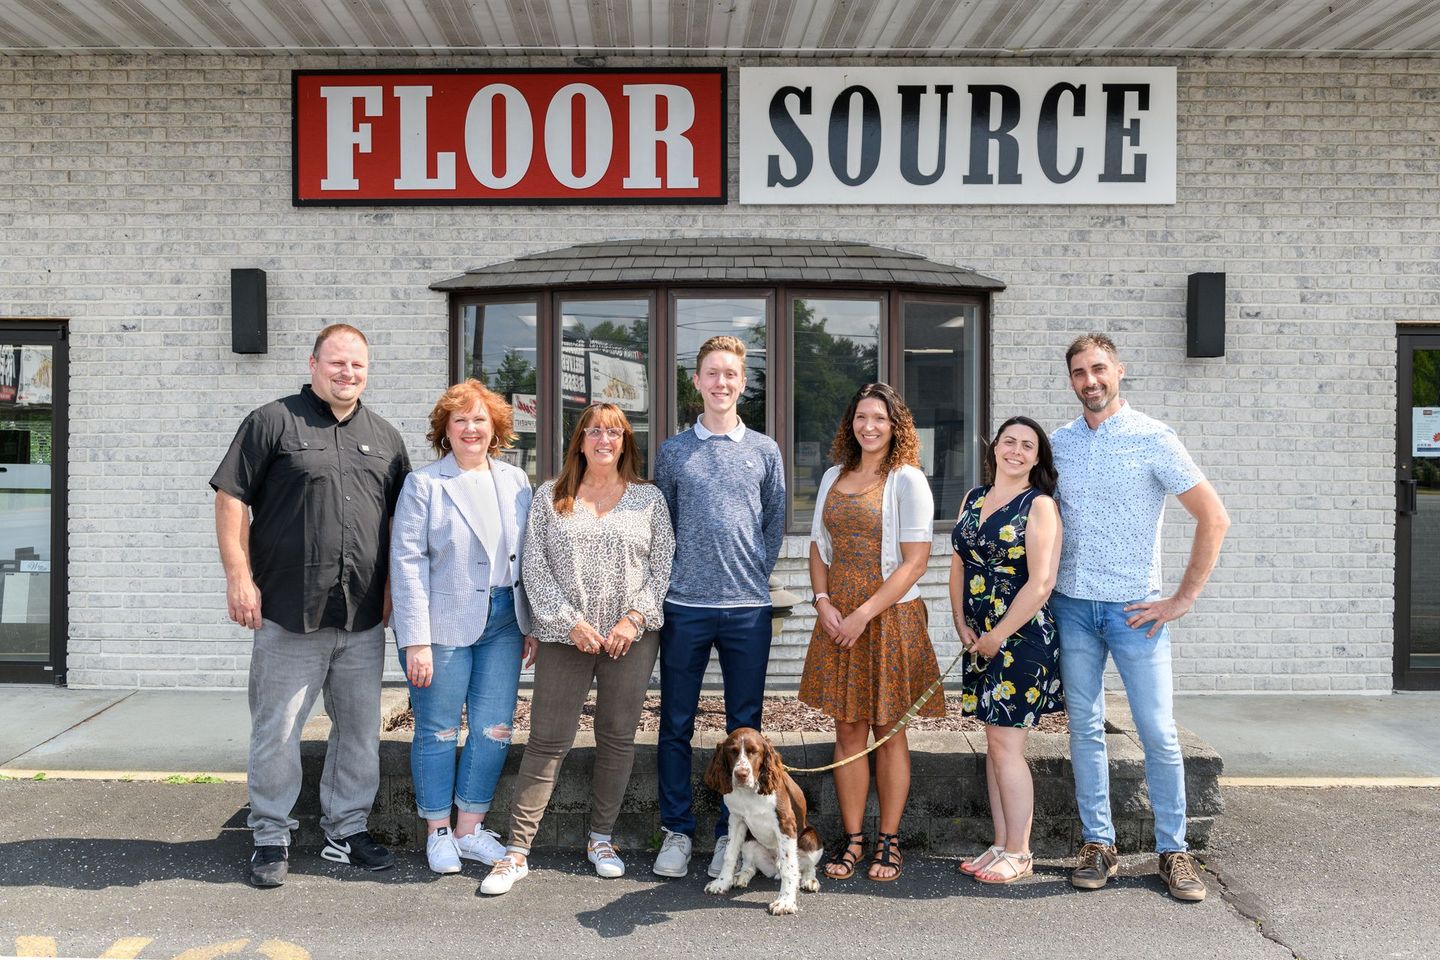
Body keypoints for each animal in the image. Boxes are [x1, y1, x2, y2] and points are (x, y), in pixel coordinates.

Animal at [699, 728, 823, 915]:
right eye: (732, 751)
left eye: (754, 751)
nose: (741, 774)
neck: (749, 792)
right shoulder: (736, 819)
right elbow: (729, 854)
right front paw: (721, 883)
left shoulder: (785, 823)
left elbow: (789, 867)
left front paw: (785, 902)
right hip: (749, 841)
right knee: (750, 865)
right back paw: (741, 876)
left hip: (811, 838)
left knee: (807, 866)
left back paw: (809, 880)